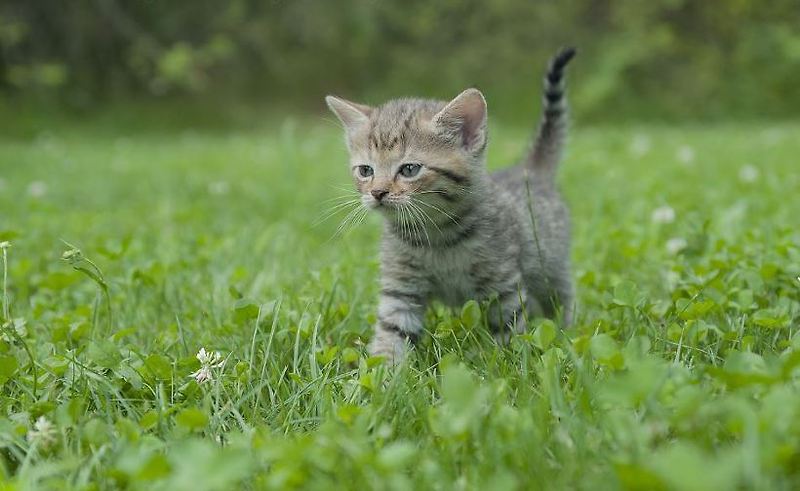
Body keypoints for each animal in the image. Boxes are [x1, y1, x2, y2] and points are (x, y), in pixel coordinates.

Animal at [328, 48, 580, 364]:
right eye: (365, 171)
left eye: (409, 169)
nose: (377, 192)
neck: (436, 235)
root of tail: (528, 170)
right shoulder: (401, 288)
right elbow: (392, 331)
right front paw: (383, 372)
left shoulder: (503, 284)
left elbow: (509, 330)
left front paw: (508, 363)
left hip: (550, 267)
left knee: (564, 295)